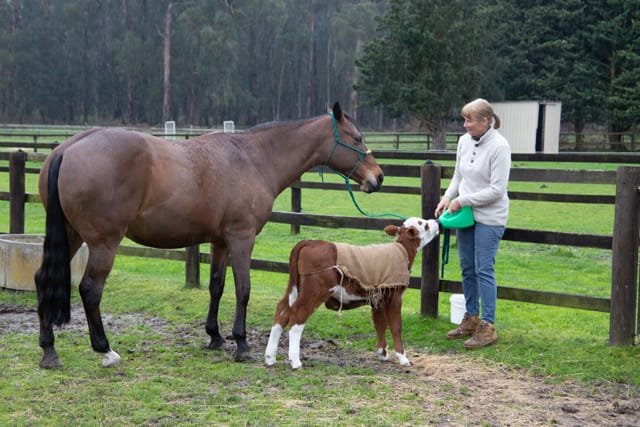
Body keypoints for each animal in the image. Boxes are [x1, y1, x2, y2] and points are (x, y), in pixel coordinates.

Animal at [34, 102, 384, 369]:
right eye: (357, 137)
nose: (378, 178)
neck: (254, 158)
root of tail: (67, 149)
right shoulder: (242, 239)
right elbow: (243, 288)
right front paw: (241, 343)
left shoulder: (219, 242)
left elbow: (217, 287)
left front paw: (214, 336)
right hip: (103, 243)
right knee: (90, 289)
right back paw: (105, 349)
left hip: (72, 236)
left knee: (42, 280)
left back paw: (49, 349)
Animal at [264, 217, 439, 369]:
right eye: (424, 225)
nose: (436, 221)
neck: (402, 251)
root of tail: (309, 242)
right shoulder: (394, 297)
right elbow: (396, 326)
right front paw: (403, 358)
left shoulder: (378, 299)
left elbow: (379, 324)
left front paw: (383, 353)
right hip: (314, 291)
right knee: (297, 315)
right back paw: (295, 361)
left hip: (294, 286)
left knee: (282, 310)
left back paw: (270, 358)